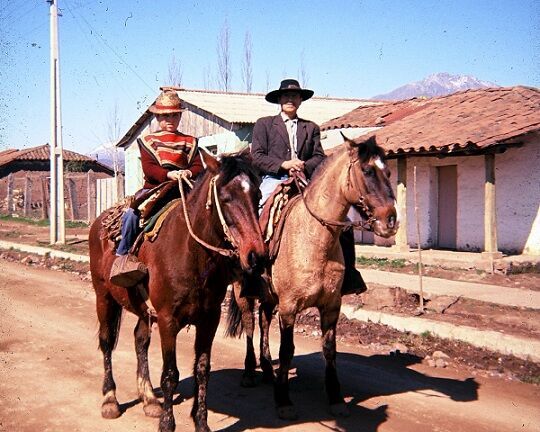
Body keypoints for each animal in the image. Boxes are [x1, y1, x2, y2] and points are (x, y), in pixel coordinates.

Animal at [88, 149, 266, 432]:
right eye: (225, 198)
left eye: (257, 196)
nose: (256, 256)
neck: (192, 253)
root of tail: (100, 223)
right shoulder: (168, 320)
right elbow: (170, 374)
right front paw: (167, 423)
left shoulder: (209, 320)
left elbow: (202, 369)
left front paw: (201, 423)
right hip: (103, 296)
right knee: (106, 342)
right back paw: (110, 401)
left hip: (142, 309)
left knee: (140, 339)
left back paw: (149, 399)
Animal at [226, 134, 398, 418]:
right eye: (367, 171)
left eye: (389, 172)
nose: (391, 221)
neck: (315, 240)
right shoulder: (288, 307)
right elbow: (287, 351)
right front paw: (283, 401)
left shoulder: (331, 306)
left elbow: (329, 350)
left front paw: (336, 397)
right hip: (243, 291)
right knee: (250, 324)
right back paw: (250, 372)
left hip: (269, 297)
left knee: (263, 321)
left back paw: (268, 371)